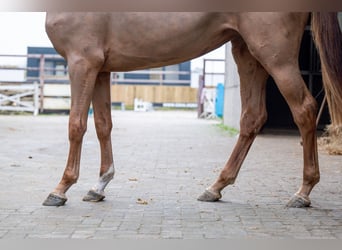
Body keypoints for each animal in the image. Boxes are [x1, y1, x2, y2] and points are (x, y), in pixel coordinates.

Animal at [42, 12, 342, 207]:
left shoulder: (82, 62)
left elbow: (76, 125)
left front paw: (60, 189)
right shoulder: (101, 69)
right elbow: (103, 125)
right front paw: (99, 185)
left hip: (275, 56)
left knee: (304, 109)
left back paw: (302, 193)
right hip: (247, 53)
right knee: (252, 117)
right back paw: (215, 188)